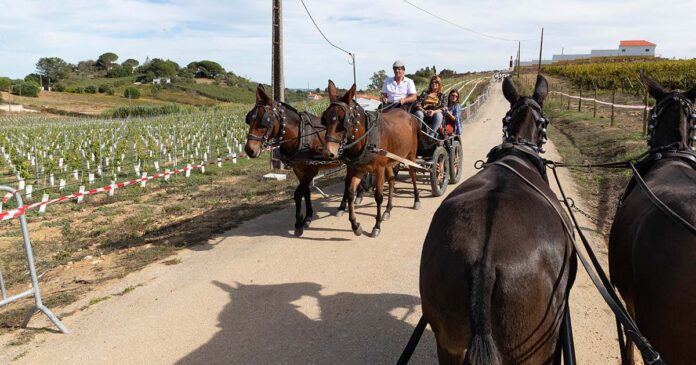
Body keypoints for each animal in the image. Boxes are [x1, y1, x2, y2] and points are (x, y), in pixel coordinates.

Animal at [245, 84, 362, 235]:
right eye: (249, 118)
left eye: (264, 120)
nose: (249, 149)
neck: (300, 136)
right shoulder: (299, 170)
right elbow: (305, 192)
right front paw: (307, 217)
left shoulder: (312, 169)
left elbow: (298, 193)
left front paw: (299, 223)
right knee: (349, 181)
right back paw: (347, 203)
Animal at [320, 80, 418, 237]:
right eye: (325, 119)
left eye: (344, 121)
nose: (328, 152)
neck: (365, 139)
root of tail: (408, 115)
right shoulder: (357, 168)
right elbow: (350, 192)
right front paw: (355, 225)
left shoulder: (378, 169)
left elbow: (378, 196)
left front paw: (377, 226)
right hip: (389, 160)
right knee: (392, 180)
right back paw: (388, 210)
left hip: (410, 155)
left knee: (413, 174)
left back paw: (416, 200)